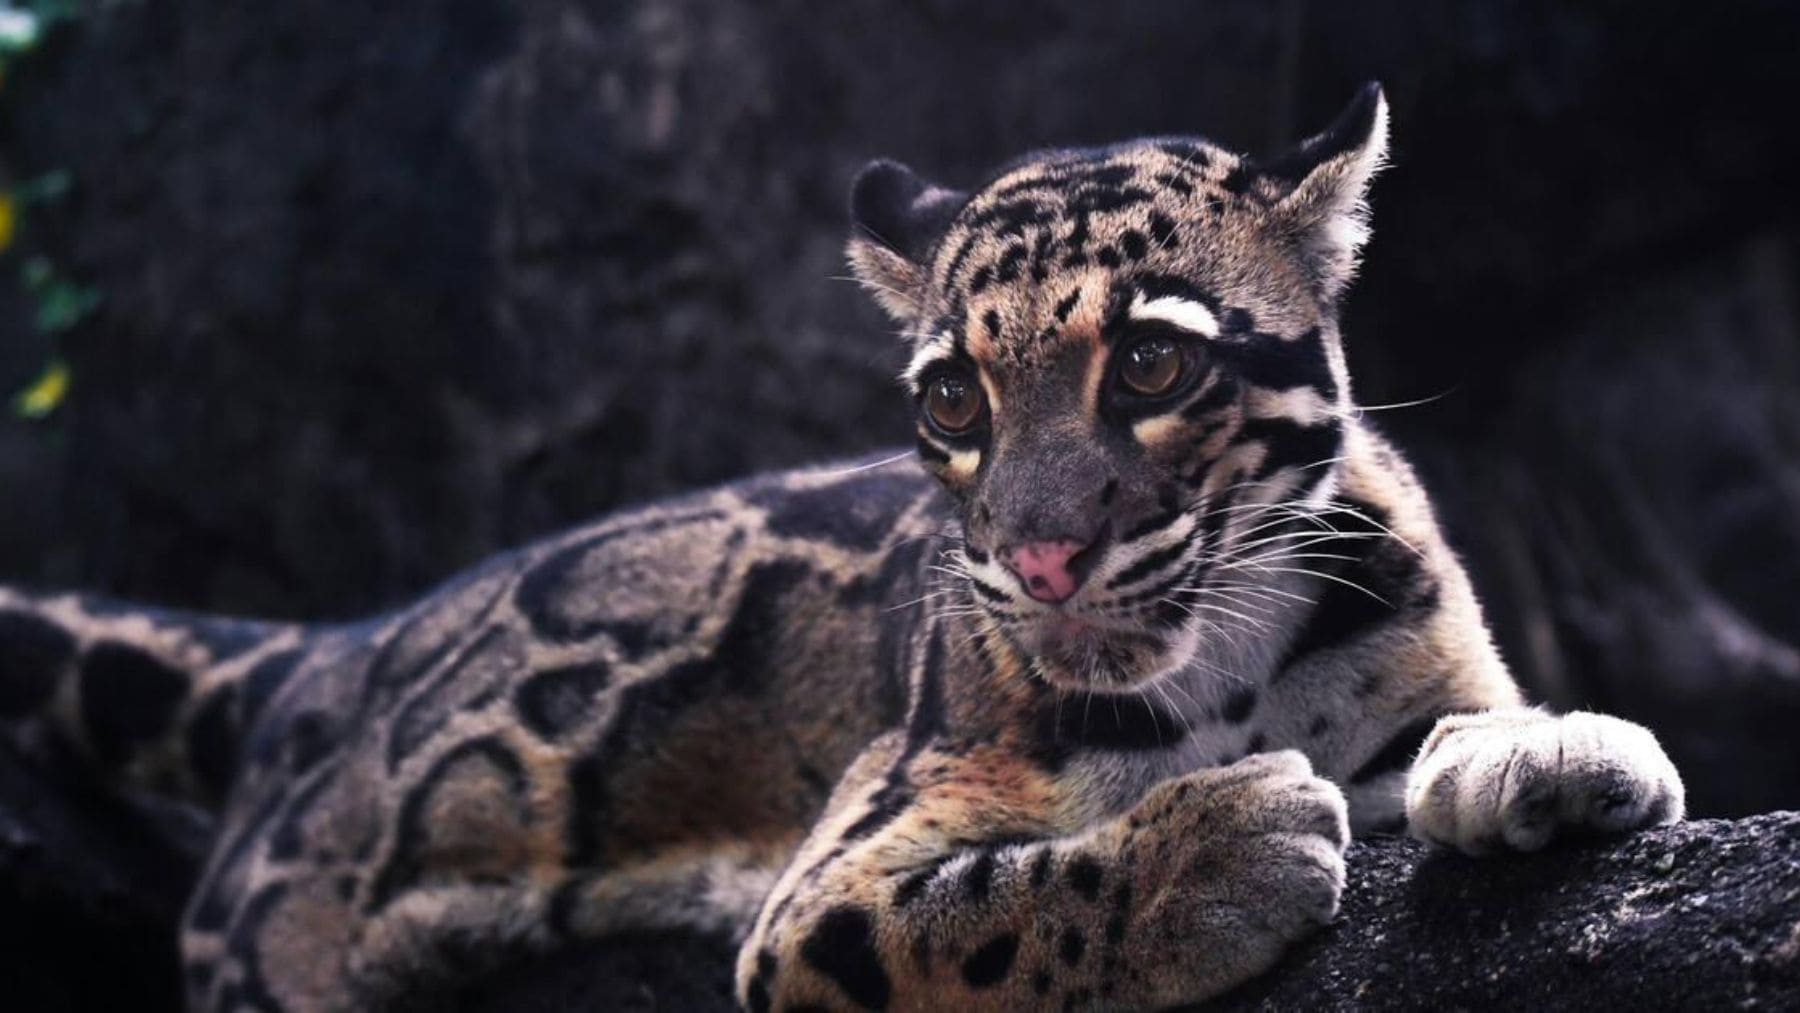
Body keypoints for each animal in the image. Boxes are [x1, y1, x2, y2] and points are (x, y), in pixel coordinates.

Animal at [0, 83, 1684, 1011]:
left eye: (1151, 365)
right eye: (951, 399)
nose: (1040, 561)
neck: (1234, 664)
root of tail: (331, 650)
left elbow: (1453, 725)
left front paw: (1548, 750)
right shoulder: (829, 883)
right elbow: (989, 916)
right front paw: (1216, 853)